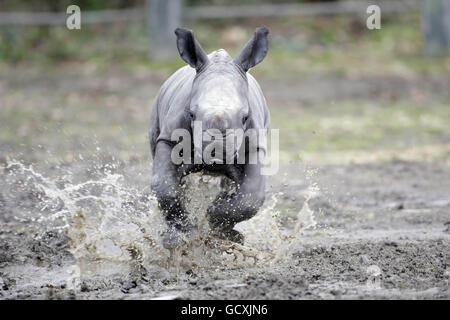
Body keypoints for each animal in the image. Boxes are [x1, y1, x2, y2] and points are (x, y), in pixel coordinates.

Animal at [150, 26, 270, 248]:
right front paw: (181, 233)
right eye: (191, 114)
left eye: (245, 117)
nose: (217, 156)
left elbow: (251, 197)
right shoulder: (168, 138)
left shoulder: (255, 145)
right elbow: (163, 185)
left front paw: (216, 222)